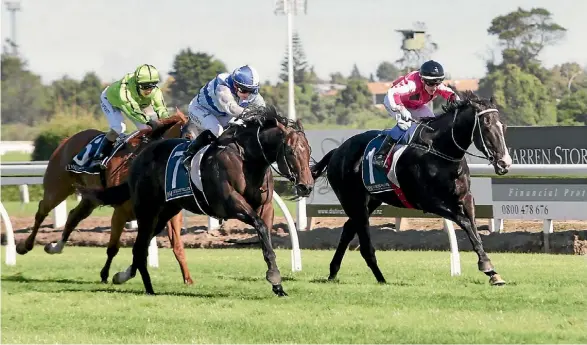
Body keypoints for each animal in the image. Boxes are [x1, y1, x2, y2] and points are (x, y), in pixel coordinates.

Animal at [16, 111, 201, 284]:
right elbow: (113, 247)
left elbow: (176, 245)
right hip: (58, 188)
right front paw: (106, 274)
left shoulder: (170, 215)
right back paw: (25, 246)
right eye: (188, 136)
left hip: (90, 197)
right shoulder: (120, 212)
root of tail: (67, 139)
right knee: (42, 211)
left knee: (73, 216)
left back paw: (56, 246)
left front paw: (188, 278)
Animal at [81, 105, 316, 296]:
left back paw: (124, 276)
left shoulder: (266, 207)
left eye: (309, 149)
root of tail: (139, 157)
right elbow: (259, 226)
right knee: (139, 247)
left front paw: (278, 285)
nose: (307, 185)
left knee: (141, 247)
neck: (247, 159)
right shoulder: (230, 203)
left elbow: (266, 235)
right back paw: (148, 288)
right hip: (147, 209)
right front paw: (274, 277)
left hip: (166, 211)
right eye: (291, 150)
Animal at [312, 90, 510, 284]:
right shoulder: (430, 202)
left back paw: (333, 272)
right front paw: (486, 265)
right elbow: (466, 223)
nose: (504, 163)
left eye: (504, 126)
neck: (439, 151)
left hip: (371, 200)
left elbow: (474, 228)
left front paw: (493, 273)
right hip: (354, 200)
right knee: (364, 244)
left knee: (347, 228)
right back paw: (381, 279)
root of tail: (337, 151)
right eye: (486, 125)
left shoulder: (466, 197)